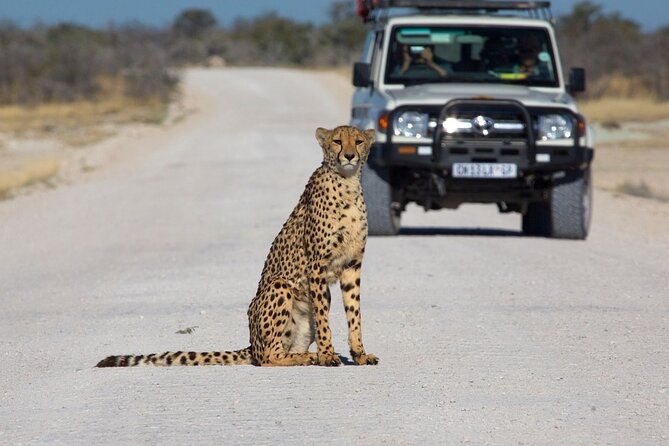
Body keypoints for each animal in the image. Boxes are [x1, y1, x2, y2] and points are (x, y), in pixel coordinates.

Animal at [94, 124, 378, 366]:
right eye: (337, 141)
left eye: (359, 141)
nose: (349, 156)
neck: (347, 184)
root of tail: (252, 344)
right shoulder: (317, 266)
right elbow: (323, 319)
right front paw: (328, 354)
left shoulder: (352, 266)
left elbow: (354, 313)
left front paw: (360, 354)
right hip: (280, 286)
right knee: (268, 357)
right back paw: (308, 357)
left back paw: (306, 356)